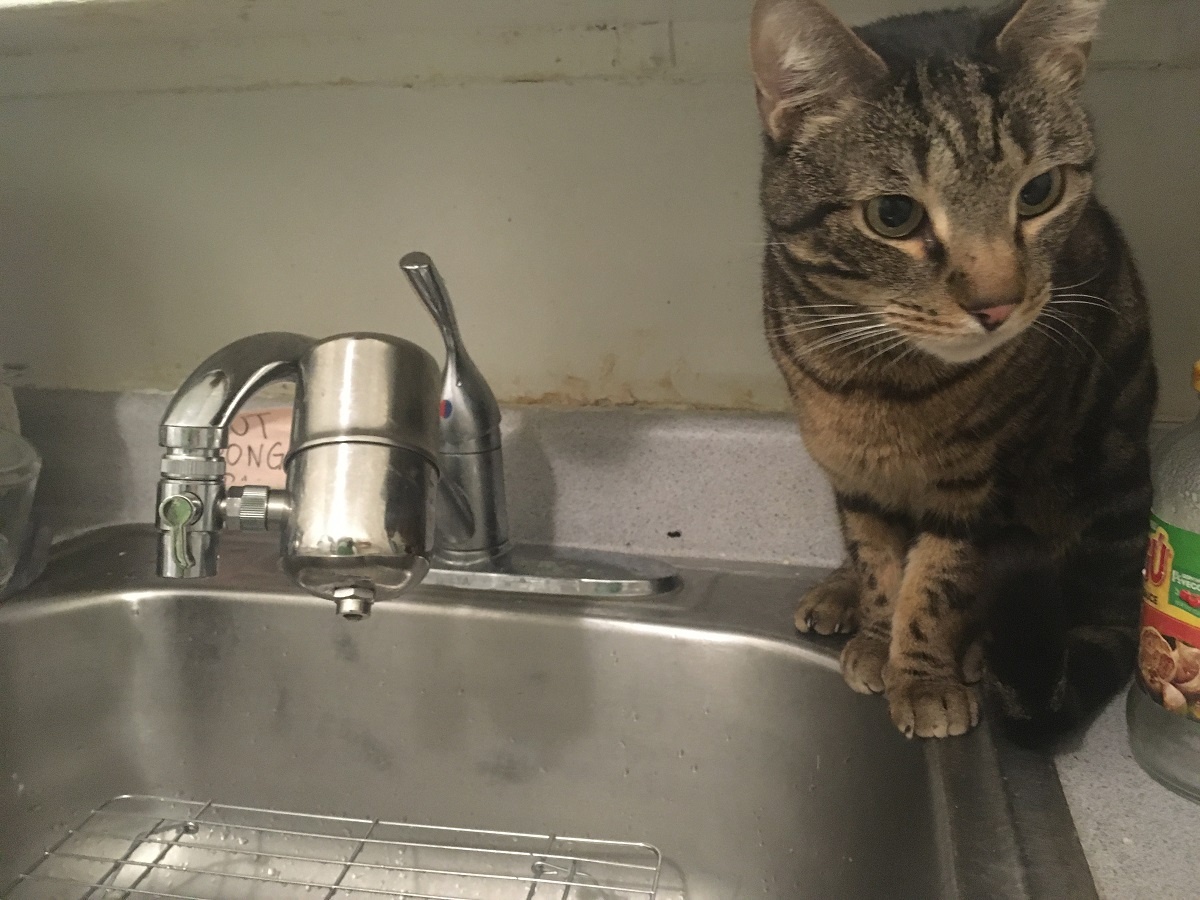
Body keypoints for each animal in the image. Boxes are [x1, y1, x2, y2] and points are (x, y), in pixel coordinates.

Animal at [753, 0, 1156, 739]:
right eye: (893, 214)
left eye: (1039, 192)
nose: (996, 304)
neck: (882, 382)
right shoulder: (855, 477)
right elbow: (878, 562)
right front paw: (877, 635)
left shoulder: (981, 489)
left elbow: (936, 585)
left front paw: (923, 676)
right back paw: (839, 590)